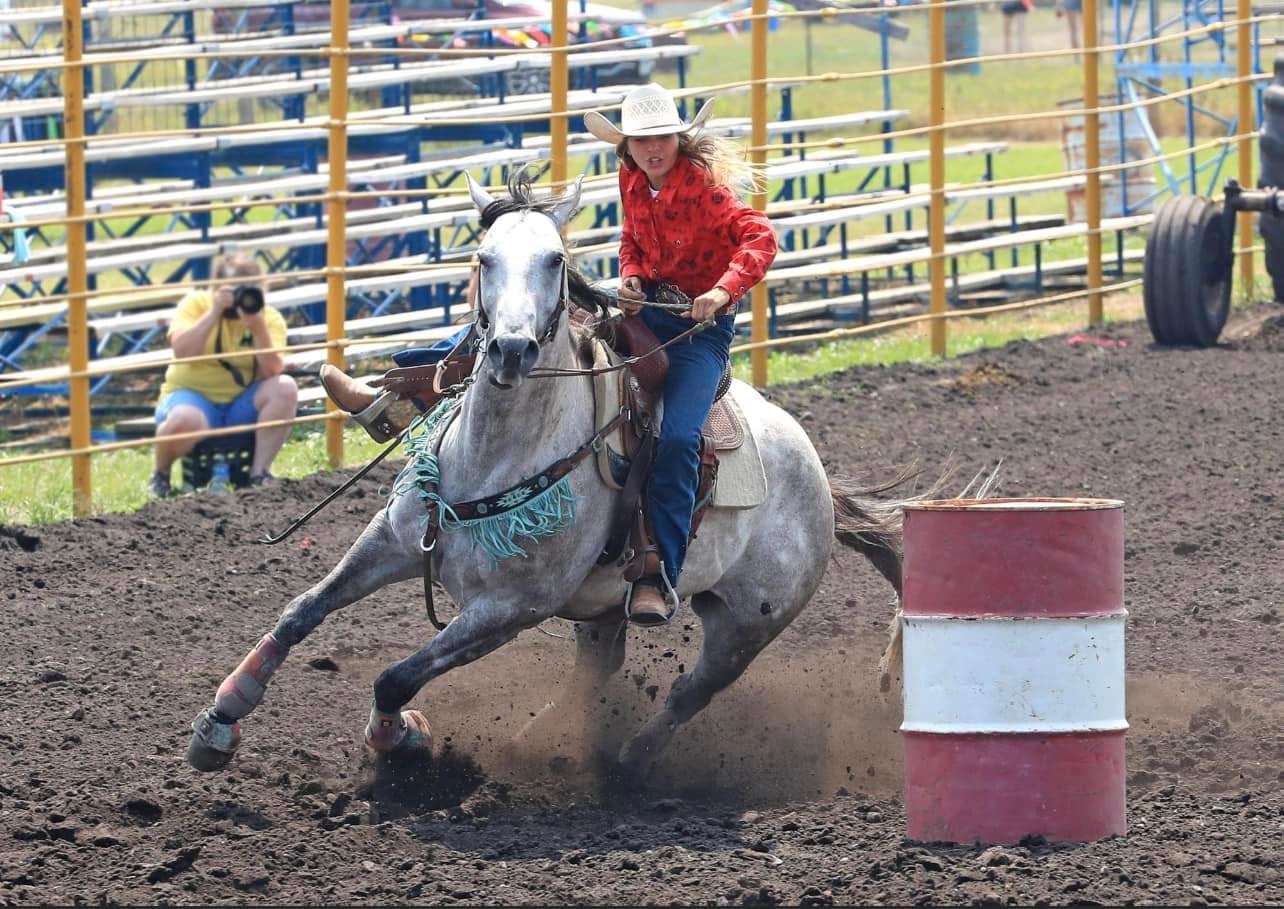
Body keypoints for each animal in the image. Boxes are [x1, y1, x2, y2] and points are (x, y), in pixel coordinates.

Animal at [187, 169, 918, 783]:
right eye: (483, 259)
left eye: (554, 260)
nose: (511, 348)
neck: (496, 455)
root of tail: (819, 477)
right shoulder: (394, 541)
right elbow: (300, 611)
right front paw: (220, 720)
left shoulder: (508, 609)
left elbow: (395, 678)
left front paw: (406, 738)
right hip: (603, 608)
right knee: (596, 674)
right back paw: (539, 744)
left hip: (749, 624)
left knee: (692, 690)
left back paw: (626, 761)